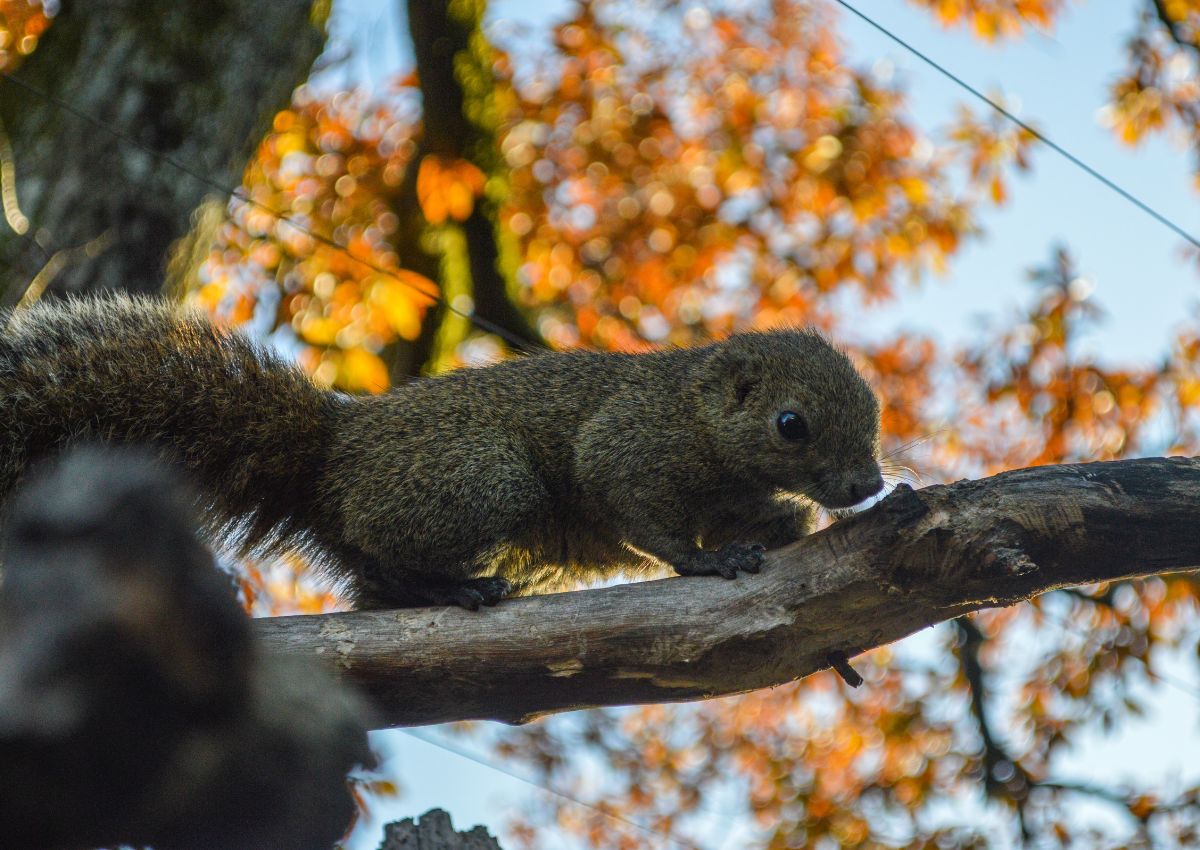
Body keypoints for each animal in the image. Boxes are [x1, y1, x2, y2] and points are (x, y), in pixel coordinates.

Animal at [0, 295, 883, 607]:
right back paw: (456, 589)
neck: (699, 417)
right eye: (792, 424)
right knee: (388, 556)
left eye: (875, 413)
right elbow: (644, 516)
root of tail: (333, 459)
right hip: (484, 484)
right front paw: (707, 560)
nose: (868, 486)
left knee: (368, 576)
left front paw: (783, 524)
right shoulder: (630, 445)